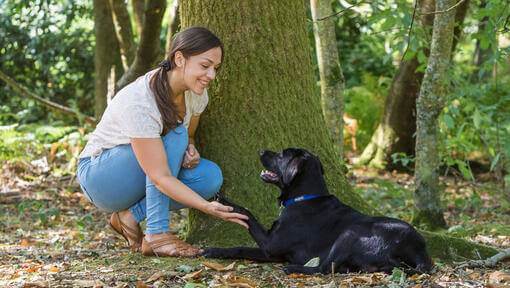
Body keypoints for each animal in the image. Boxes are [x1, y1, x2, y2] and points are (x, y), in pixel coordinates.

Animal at [202, 148, 430, 274]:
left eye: (282, 154)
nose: (260, 151)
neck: (306, 197)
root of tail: (420, 251)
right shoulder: (273, 252)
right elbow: (240, 248)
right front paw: (215, 250)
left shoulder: (270, 245)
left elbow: (247, 214)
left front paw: (226, 203)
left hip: (350, 234)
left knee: (324, 268)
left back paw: (294, 269)